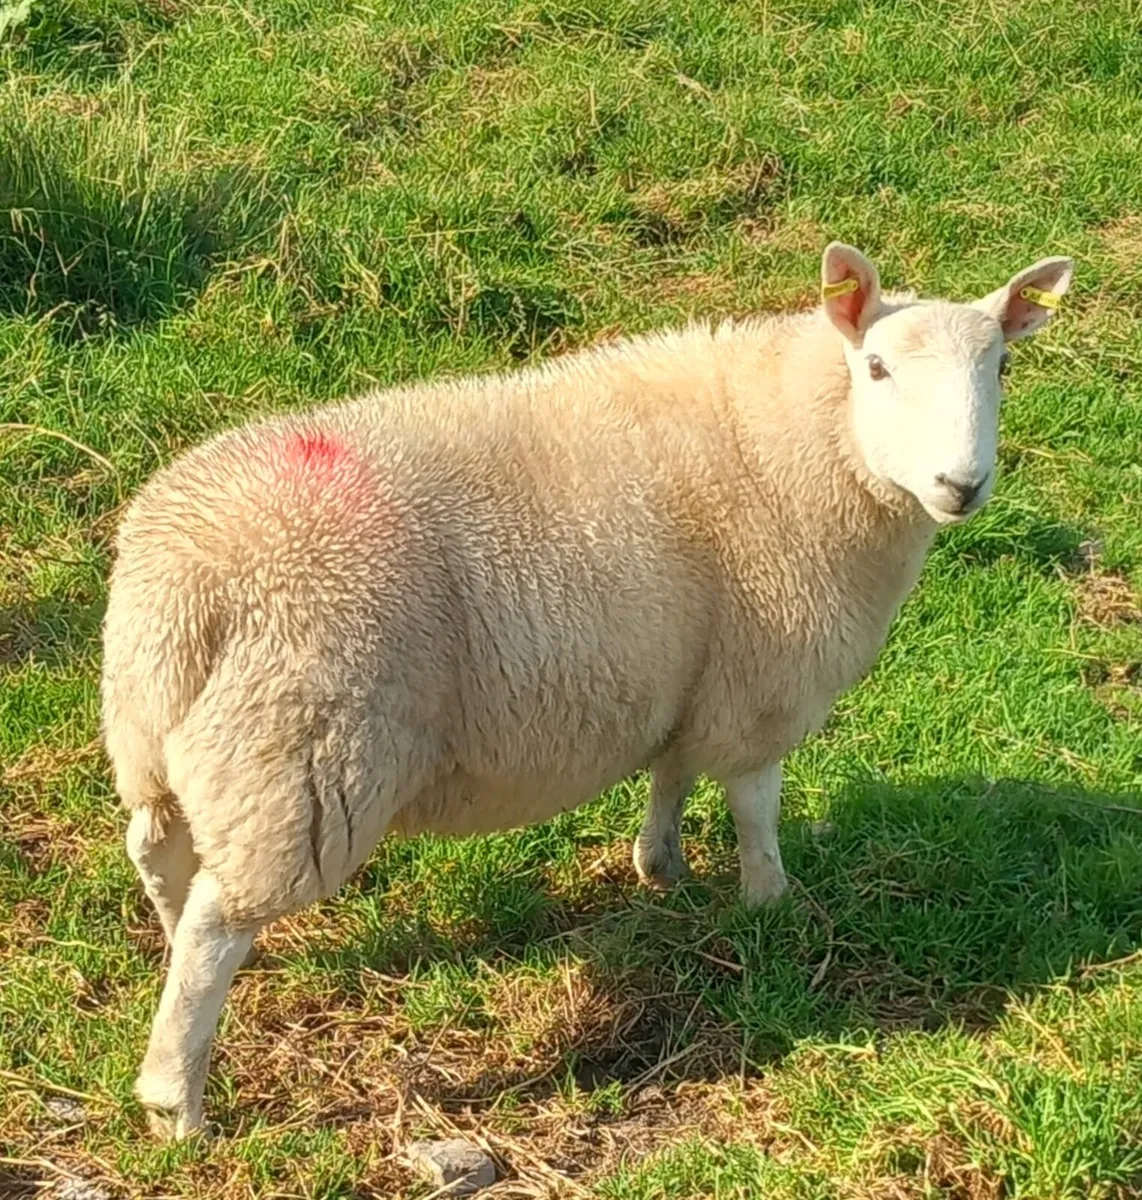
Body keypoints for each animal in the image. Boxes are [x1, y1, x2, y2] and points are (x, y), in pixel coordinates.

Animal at [100, 242, 1073, 1138]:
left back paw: (172, 945)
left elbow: (672, 773)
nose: (962, 485)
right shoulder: (762, 682)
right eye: (876, 367)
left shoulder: (694, 674)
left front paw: (662, 867)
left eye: (1002, 366)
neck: (805, 446)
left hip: (171, 741)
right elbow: (754, 805)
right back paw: (177, 1100)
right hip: (301, 756)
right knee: (219, 924)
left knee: (159, 853)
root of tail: (184, 581)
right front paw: (771, 905)